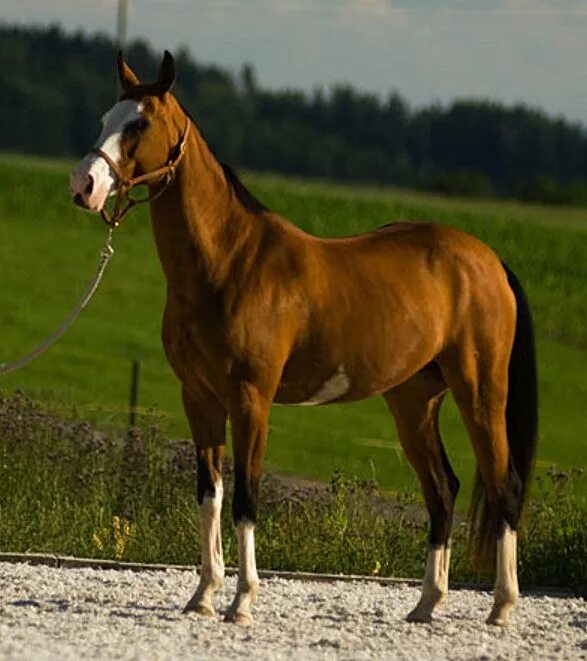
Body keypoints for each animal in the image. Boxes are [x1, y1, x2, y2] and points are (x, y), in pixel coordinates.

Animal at [69, 51, 536, 624]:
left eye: (139, 124)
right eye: (104, 120)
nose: (84, 185)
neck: (229, 261)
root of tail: (488, 261)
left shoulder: (251, 399)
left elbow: (246, 498)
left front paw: (242, 602)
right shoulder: (199, 397)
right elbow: (209, 495)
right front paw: (202, 597)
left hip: (481, 393)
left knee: (503, 485)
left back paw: (502, 608)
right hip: (413, 402)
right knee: (442, 490)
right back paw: (426, 604)